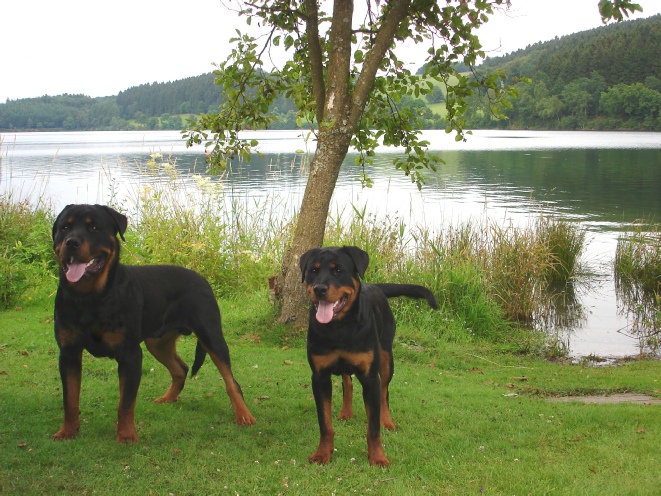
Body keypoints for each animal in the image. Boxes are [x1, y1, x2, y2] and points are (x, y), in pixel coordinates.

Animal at [49, 203, 254, 444]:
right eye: (65, 227)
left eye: (94, 227)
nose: (71, 242)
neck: (90, 297)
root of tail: (202, 278)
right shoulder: (69, 352)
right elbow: (70, 399)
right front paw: (67, 431)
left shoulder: (129, 353)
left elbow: (126, 402)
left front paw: (126, 435)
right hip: (158, 342)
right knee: (181, 368)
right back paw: (168, 398)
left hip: (211, 334)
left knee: (231, 381)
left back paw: (244, 416)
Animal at [300, 246, 438, 466]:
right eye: (313, 270)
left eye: (338, 270)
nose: (319, 289)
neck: (338, 328)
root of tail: (375, 286)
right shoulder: (319, 377)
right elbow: (325, 423)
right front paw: (322, 453)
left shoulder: (370, 377)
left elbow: (373, 427)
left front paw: (378, 457)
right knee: (347, 382)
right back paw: (346, 412)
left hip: (386, 358)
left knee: (384, 392)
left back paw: (387, 420)